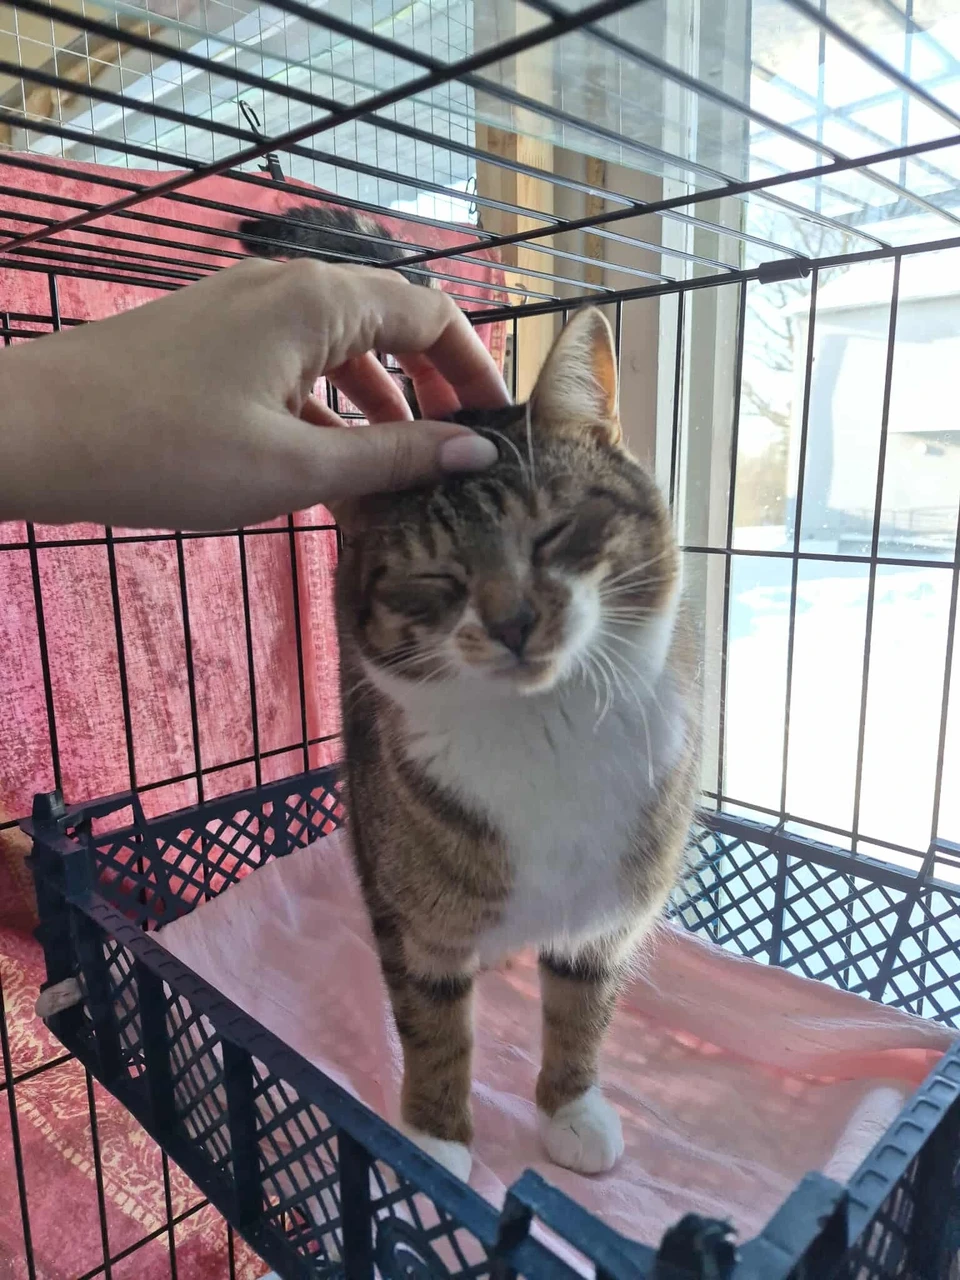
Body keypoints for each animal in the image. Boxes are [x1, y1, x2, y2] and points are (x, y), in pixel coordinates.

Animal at [334, 304, 700, 1182]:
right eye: (434, 577)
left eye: (555, 532)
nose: (513, 621)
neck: (543, 727)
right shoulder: (415, 921)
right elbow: (432, 1025)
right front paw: (433, 1140)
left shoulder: (609, 909)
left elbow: (582, 1007)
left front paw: (571, 1110)